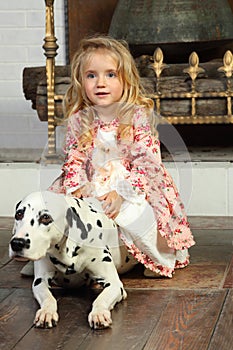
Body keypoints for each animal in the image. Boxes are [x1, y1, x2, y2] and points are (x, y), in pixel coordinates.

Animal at [9, 190, 137, 330]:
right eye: (19, 214)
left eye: (46, 217)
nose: (17, 243)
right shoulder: (39, 281)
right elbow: (48, 298)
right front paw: (46, 312)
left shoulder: (114, 284)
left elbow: (101, 299)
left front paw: (99, 313)